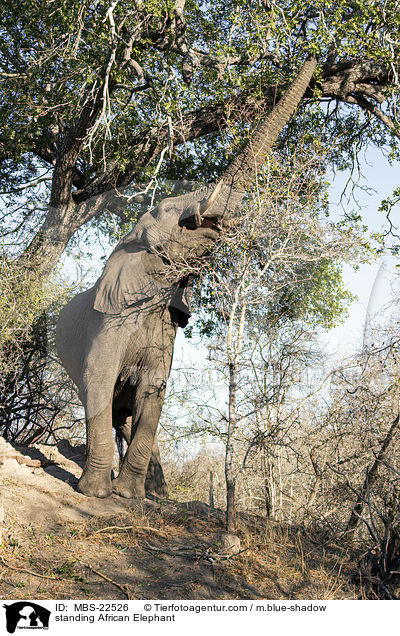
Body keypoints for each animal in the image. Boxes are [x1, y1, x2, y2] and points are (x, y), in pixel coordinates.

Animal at [55, 57, 316, 500]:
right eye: (166, 212)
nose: (321, 55)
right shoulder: (108, 324)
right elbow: (99, 381)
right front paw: (94, 494)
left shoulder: (165, 328)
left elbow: (152, 393)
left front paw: (128, 497)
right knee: (108, 406)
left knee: (127, 414)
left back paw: (155, 493)